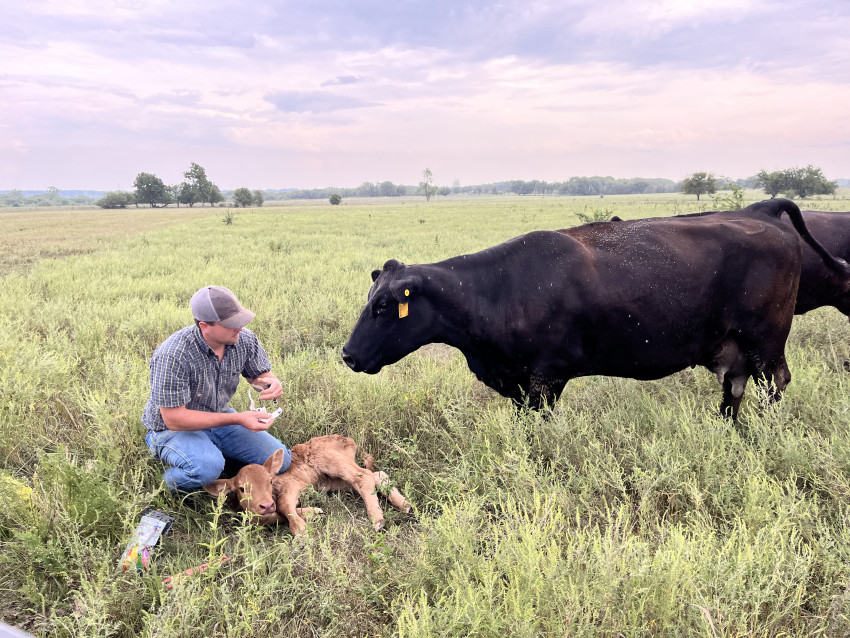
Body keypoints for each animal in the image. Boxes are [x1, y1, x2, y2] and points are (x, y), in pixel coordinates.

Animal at [202, 436, 408, 536]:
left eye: (269, 481)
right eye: (242, 489)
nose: (266, 505)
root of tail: (345, 439)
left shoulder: (293, 484)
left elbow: (283, 505)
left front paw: (300, 529)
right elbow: (272, 515)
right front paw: (313, 512)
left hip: (332, 461)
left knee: (364, 477)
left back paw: (378, 519)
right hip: (332, 480)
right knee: (376, 476)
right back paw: (403, 504)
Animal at [340, 200, 848, 420]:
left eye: (383, 306)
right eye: (370, 299)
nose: (347, 355)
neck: (500, 288)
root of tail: (762, 213)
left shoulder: (546, 378)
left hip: (766, 342)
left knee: (774, 384)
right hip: (735, 348)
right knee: (735, 388)